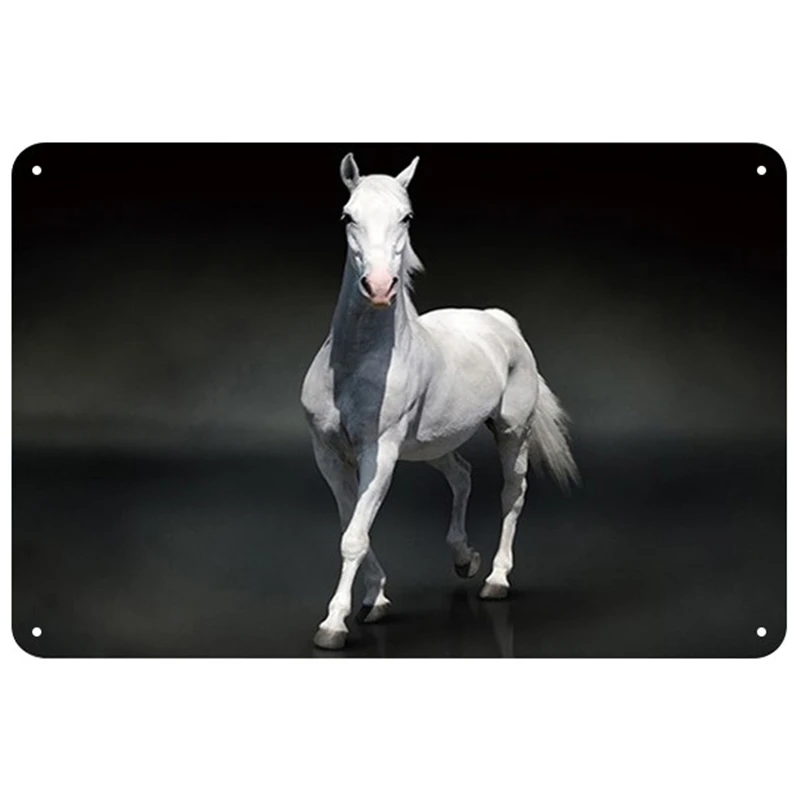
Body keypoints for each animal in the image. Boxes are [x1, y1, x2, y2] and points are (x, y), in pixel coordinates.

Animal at [301, 153, 578, 650]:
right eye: (348, 216)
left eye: (406, 217)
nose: (379, 287)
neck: (354, 365)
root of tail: (499, 321)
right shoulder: (329, 454)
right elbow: (354, 525)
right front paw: (376, 600)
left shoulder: (379, 453)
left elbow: (354, 536)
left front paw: (333, 625)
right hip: (431, 445)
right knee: (462, 475)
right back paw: (464, 558)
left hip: (512, 433)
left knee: (513, 493)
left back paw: (496, 578)